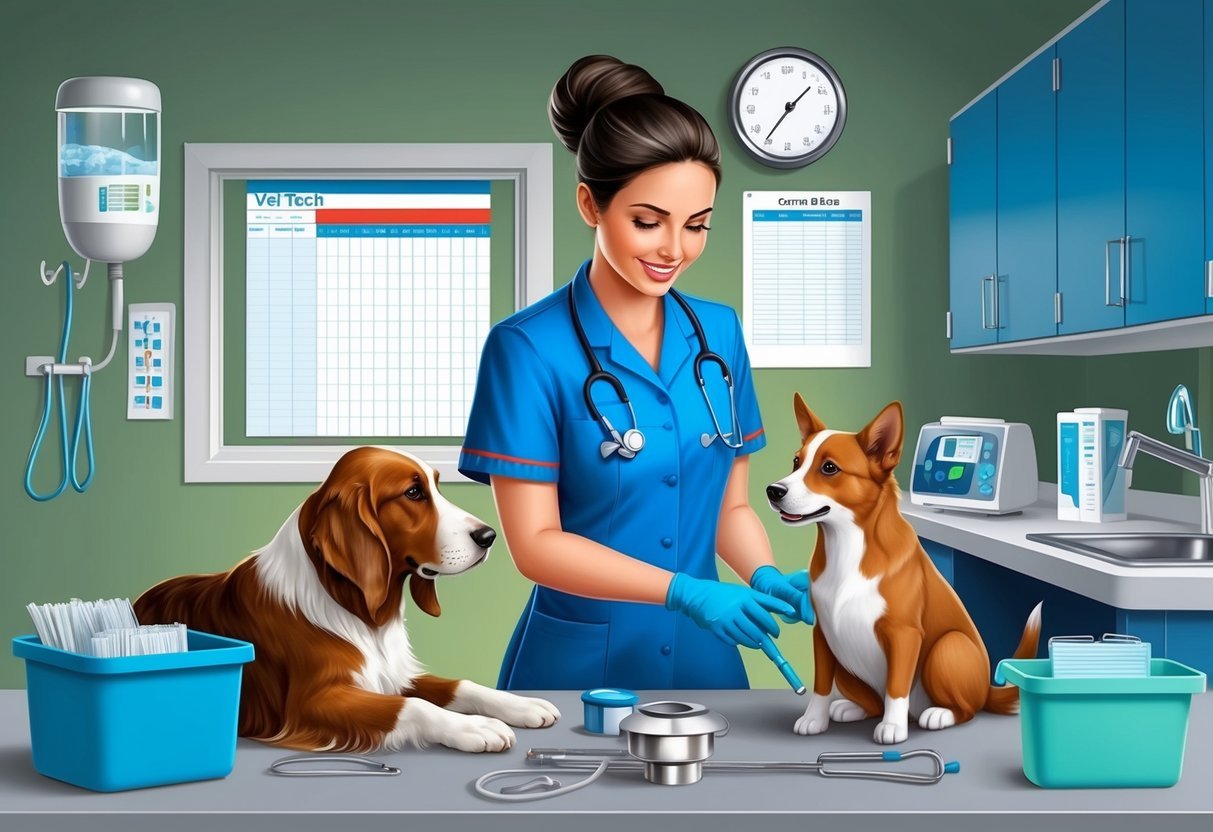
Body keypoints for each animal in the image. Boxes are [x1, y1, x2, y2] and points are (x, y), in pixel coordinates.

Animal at [135, 448, 560, 756]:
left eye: (437, 487)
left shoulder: (396, 674)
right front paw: (475, 726)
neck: (358, 611)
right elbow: (416, 706)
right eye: (413, 493)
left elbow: (461, 685)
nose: (488, 536)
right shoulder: (312, 703)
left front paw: (522, 705)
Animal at [761, 397, 1038, 751]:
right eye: (796, 461)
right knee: (871, 701)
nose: (773, 490)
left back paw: (937, 715)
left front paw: (892, 727)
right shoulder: (822, 634)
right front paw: (814, 719)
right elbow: (821, 684)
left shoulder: (904, 635)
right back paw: (850, 708)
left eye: (829, 468)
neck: (847, 546)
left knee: (966, 709)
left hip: (947, 648)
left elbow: (896, 687)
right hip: (846, 663)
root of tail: (987, 690)